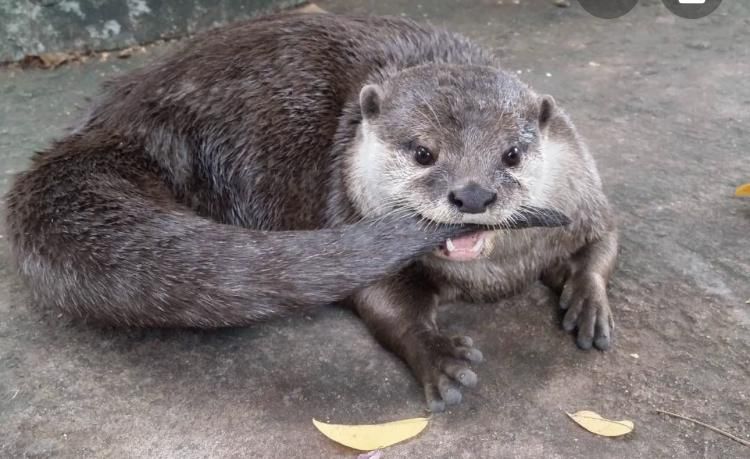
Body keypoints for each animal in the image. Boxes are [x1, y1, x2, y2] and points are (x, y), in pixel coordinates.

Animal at [4, 13, 616, 412]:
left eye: (512, 153)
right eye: (423, 152)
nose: (472, 195)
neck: (492, 277)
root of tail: (112, 123)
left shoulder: (586, 195)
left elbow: (602, 243)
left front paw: (588, 301)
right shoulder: (344, 207)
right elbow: (382, 299)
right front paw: (438, 355)